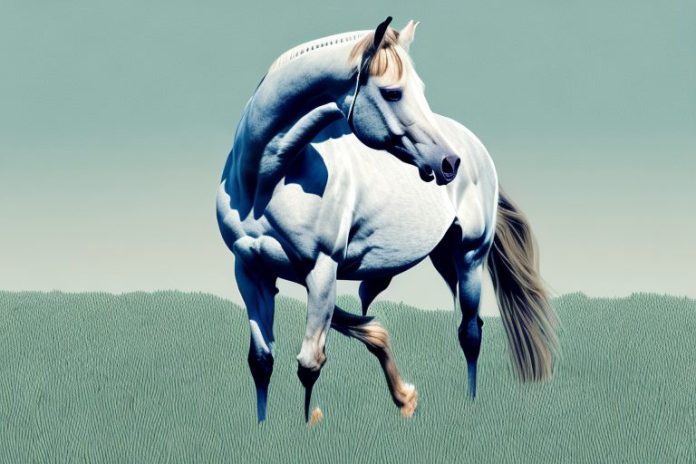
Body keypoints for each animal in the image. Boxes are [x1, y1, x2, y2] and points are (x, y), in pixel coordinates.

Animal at [216, 17, 559, 423]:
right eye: (393, 92)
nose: (448, 163)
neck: (265, 181)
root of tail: (474, 148)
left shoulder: (320, 270)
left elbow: (310, 364)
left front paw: (309, 424)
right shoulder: (250, 270)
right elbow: (262, 361)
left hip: (471, 256)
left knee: (470, 333)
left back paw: (470, 403)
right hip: (444, 257)